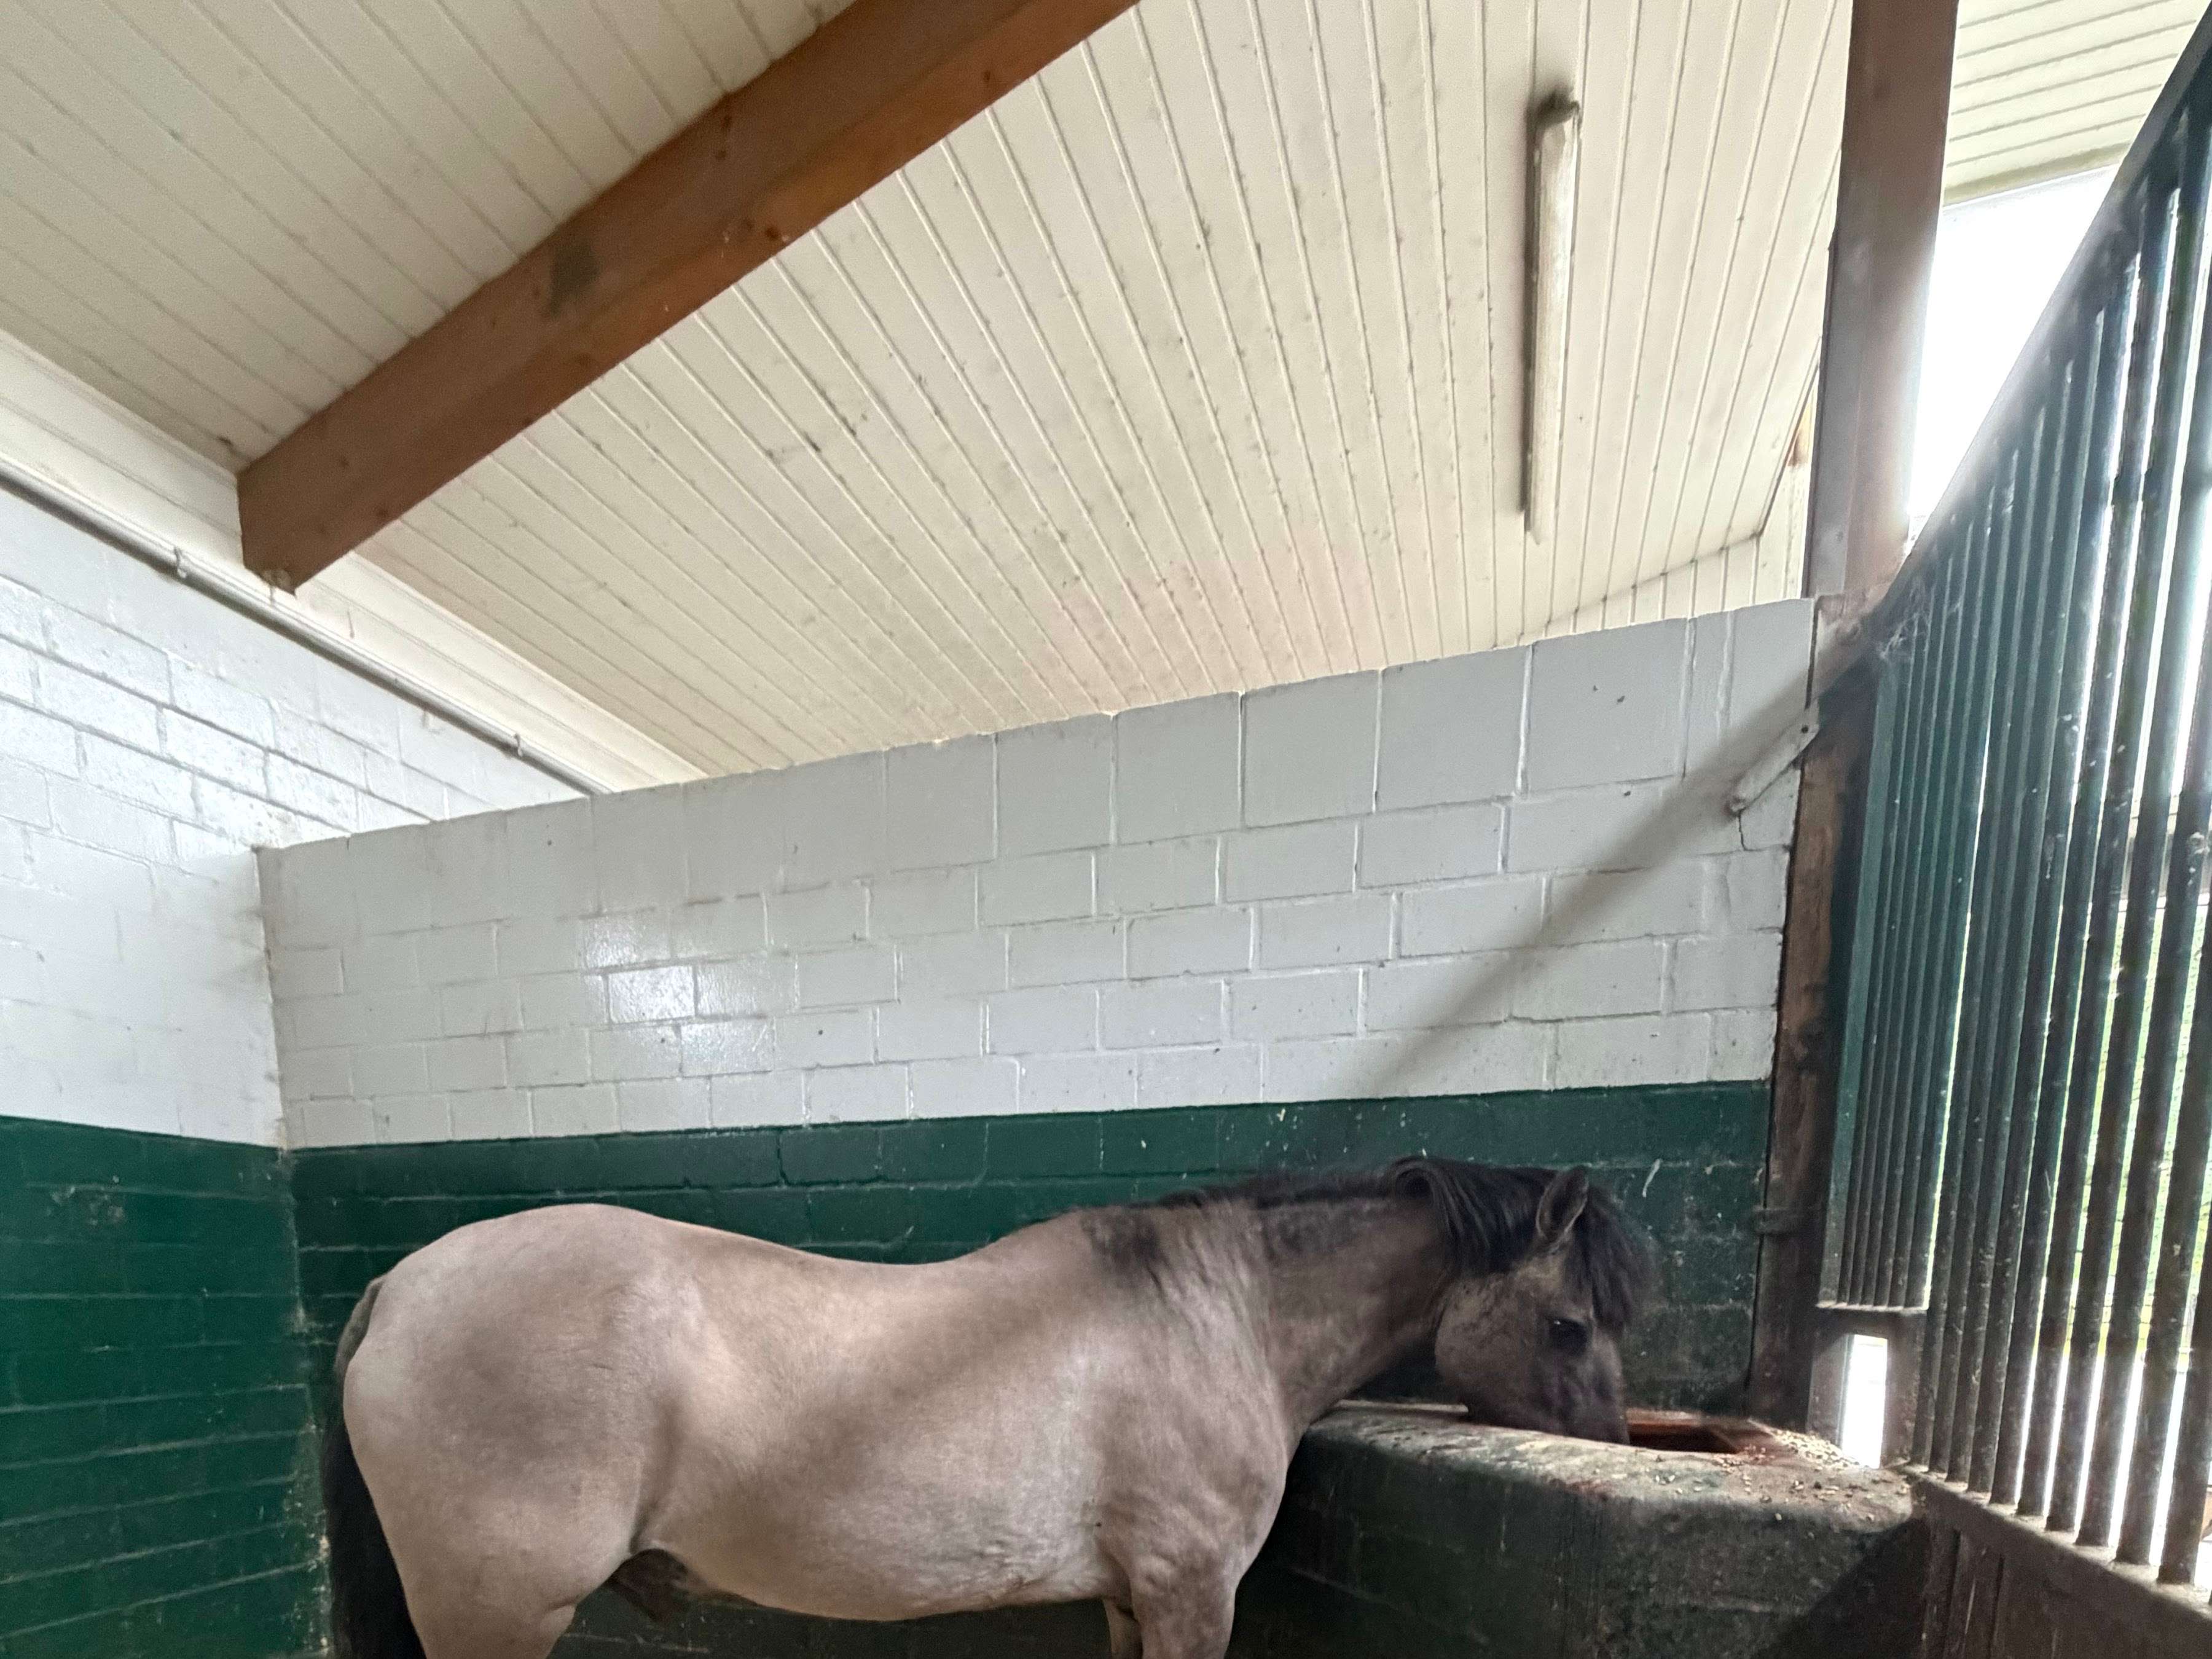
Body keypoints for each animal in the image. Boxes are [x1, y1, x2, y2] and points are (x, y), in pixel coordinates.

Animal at [320, 1157, 1654, 1659]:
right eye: (1569, 1323)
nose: (1613, 1445)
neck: (1210, 1313)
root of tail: (399, 1289)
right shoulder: (1191, 1592)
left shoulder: (1132, 1598)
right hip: (500, 1612)